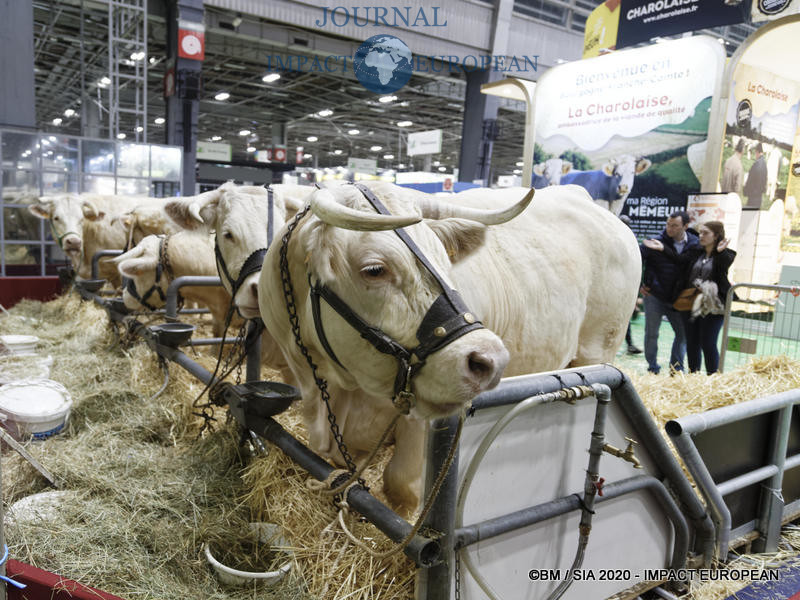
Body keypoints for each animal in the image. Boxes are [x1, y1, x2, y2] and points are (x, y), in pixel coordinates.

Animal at [260, 180, 640, 512]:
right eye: (374, 269)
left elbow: (402, 485)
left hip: (598, 350)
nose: (491, 359)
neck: (340, 390)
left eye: (445, 262)